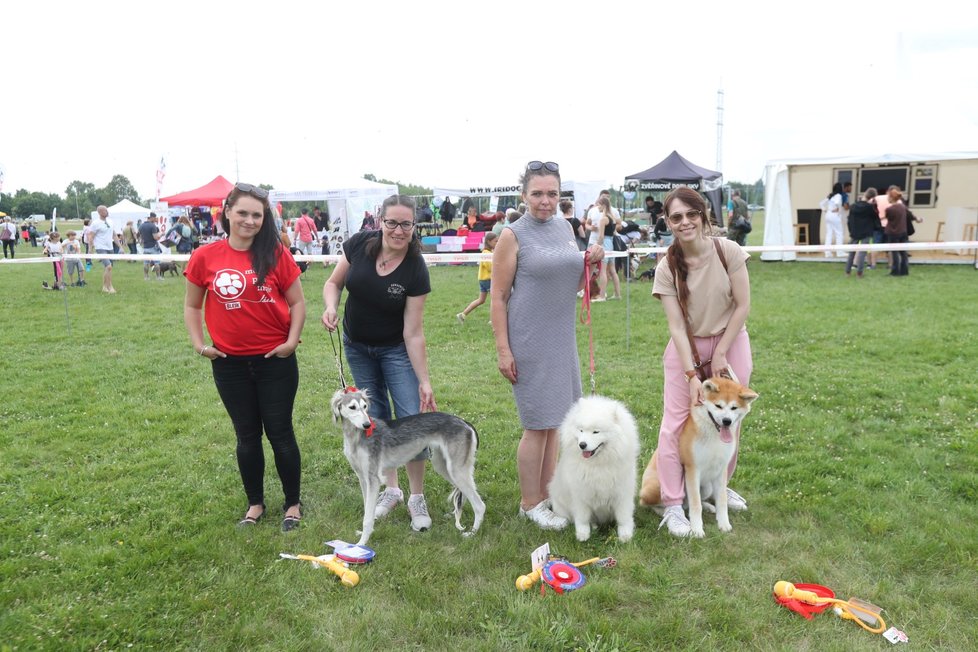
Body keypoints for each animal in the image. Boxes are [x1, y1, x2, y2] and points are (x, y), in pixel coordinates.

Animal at [330, 388, 486, 544]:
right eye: (352, 407)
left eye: (364, 406)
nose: (367, 425)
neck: (356, 437)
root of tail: (465, 422)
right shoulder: (363, 478)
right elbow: (367, 509)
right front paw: (362, 536)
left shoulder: (373, 479)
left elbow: (367, 518)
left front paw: (361, 544)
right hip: (443, 466)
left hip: (456, 470)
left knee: (480, 506)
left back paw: (472, 533)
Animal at [544, 394, 636, 544]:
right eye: (581, 430)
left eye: (596, 432)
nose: (582, 444)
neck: (598, 465)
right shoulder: (580, 494)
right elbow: (582, 518)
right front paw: (583, 534)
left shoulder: (622, 492)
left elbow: (623, 517)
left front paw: (625, 535)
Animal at [636, 374, 760, 536]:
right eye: (718, 406)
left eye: (734, 407)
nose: (727, 421)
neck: (714, 435)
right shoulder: (692, 469)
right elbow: (695, 504)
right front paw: (696, 529)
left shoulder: (721, 470)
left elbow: (721, 501)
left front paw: (723, 523)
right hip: (657, 487)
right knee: (655, 504)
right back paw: (667, 513)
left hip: (707, 487)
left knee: (690, 504)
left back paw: (708, 506)